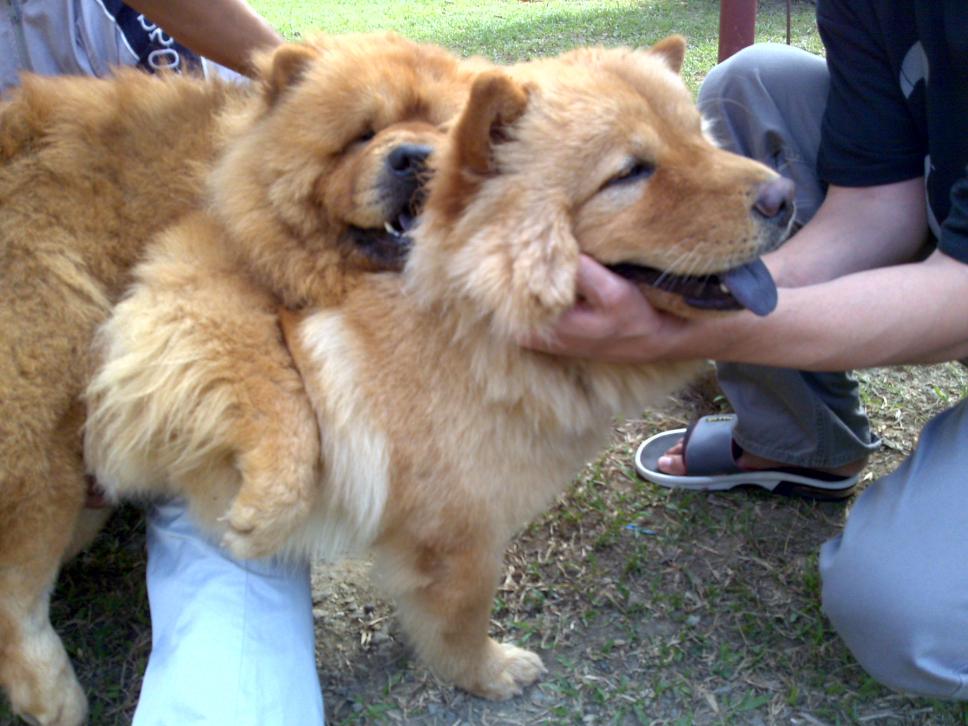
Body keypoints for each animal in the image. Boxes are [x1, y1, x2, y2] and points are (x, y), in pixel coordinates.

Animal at [84, 34, 795, 703]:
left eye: (701, 138)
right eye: (631, 172)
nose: (785, 195)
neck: (470, 324)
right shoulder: (457, 536)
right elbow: (461, 620)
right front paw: (487, 674)